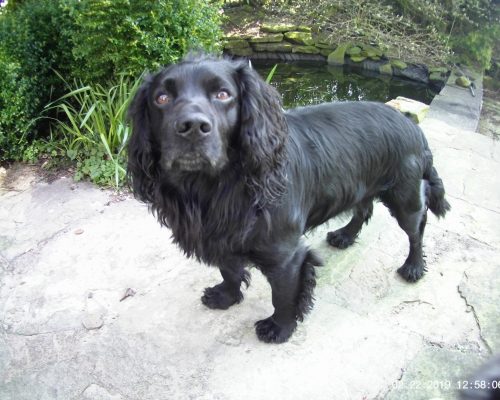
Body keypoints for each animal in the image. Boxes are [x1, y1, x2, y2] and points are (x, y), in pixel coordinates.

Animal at [127, 53, 452, 342]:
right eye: (161, 98)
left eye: (223, 94)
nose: (192, 127)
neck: (215, 186)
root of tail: (412, 125)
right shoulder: (223, 236)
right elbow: (229, 270)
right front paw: (226, 296)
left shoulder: (285, 255)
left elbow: (283, 296)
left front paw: (279, 328)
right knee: (363, 209)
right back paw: (345, 236)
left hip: (405, 195)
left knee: (416, 229)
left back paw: (413, 266)